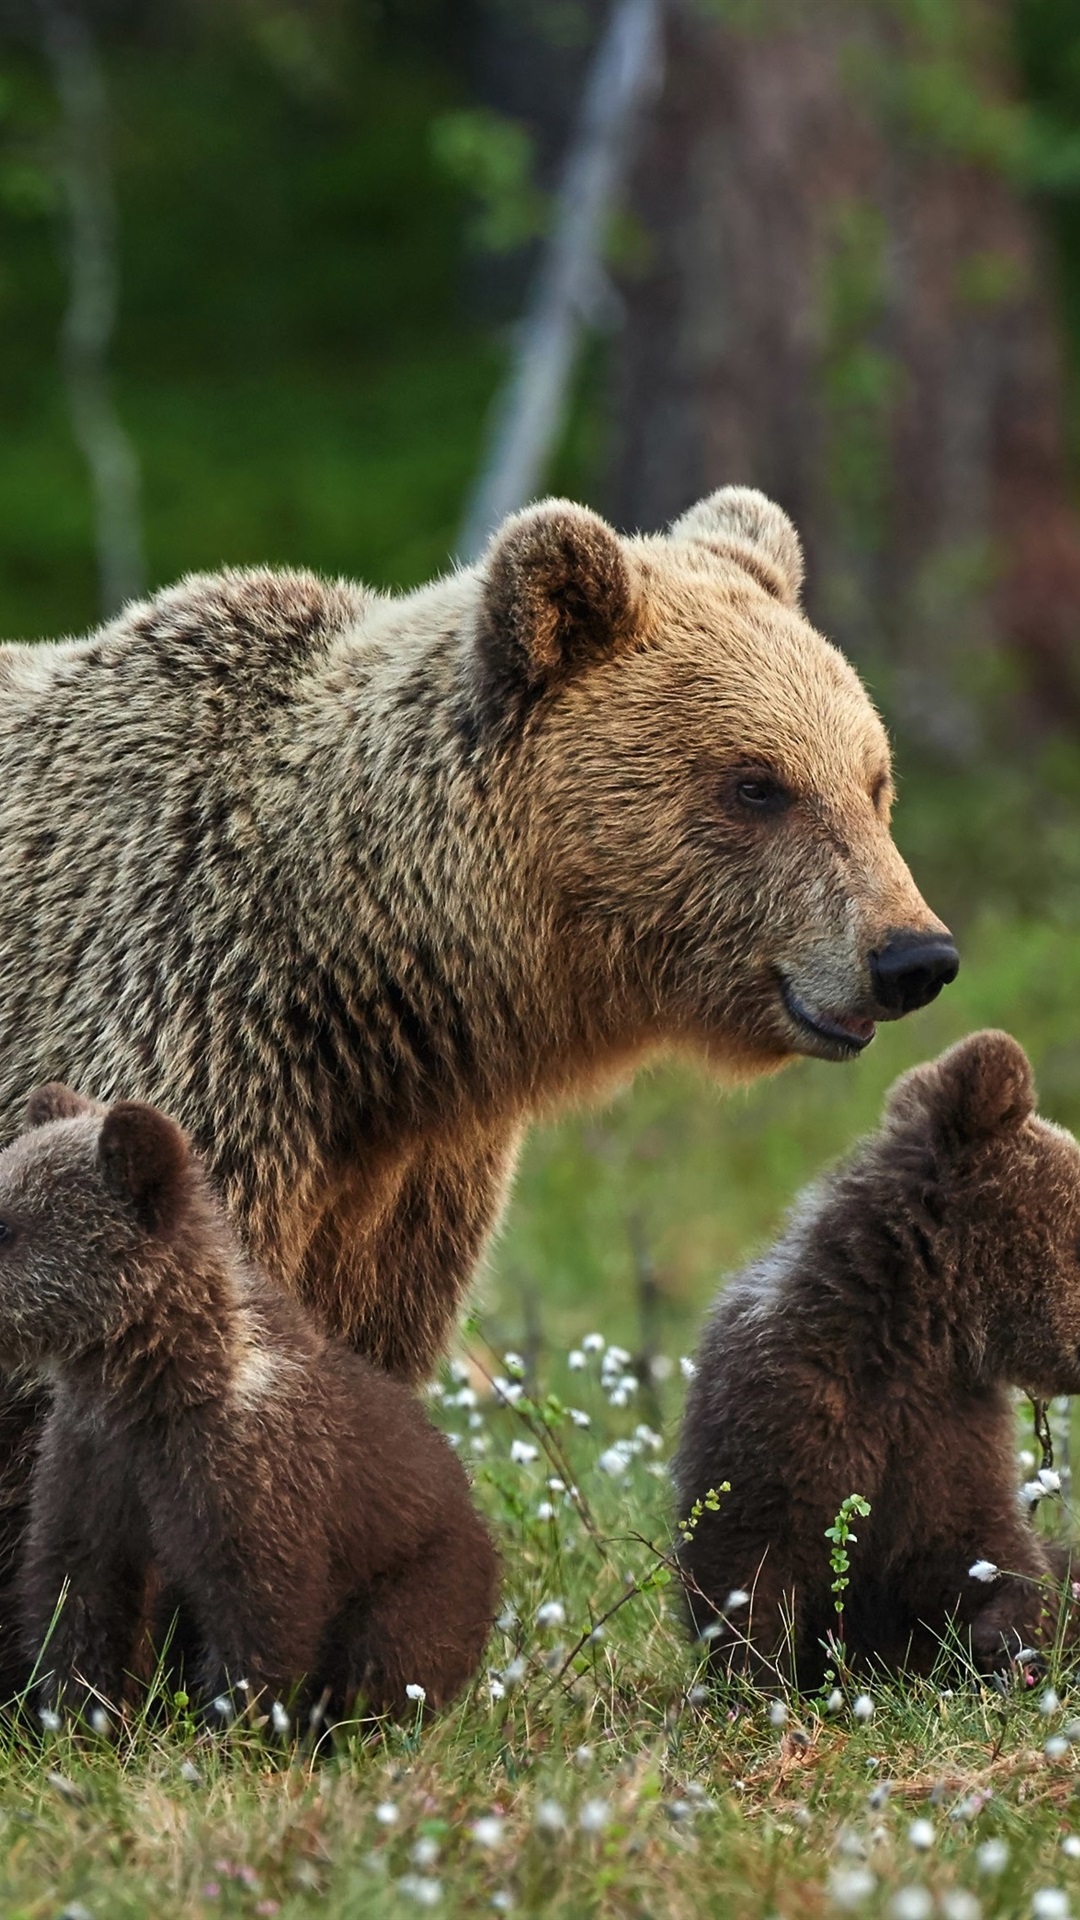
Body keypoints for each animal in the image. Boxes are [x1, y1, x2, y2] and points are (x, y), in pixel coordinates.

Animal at [0, 1082, 495, 1728]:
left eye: (5, 1228)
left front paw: (229, 1726)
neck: (150, 1379)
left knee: (390, 1655)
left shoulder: (250, 1478)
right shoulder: (91, 1461)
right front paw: (77, 1719)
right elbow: (76, 1594)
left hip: (422, 1572)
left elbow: (260, 1617)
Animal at [672, 1029, 1076, 1689]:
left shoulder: (950, 1436)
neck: (917, 1335)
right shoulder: (786, 1411)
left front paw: (1008, 1641)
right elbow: (746, 1563)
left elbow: (990, 1554)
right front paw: (754, 1683)